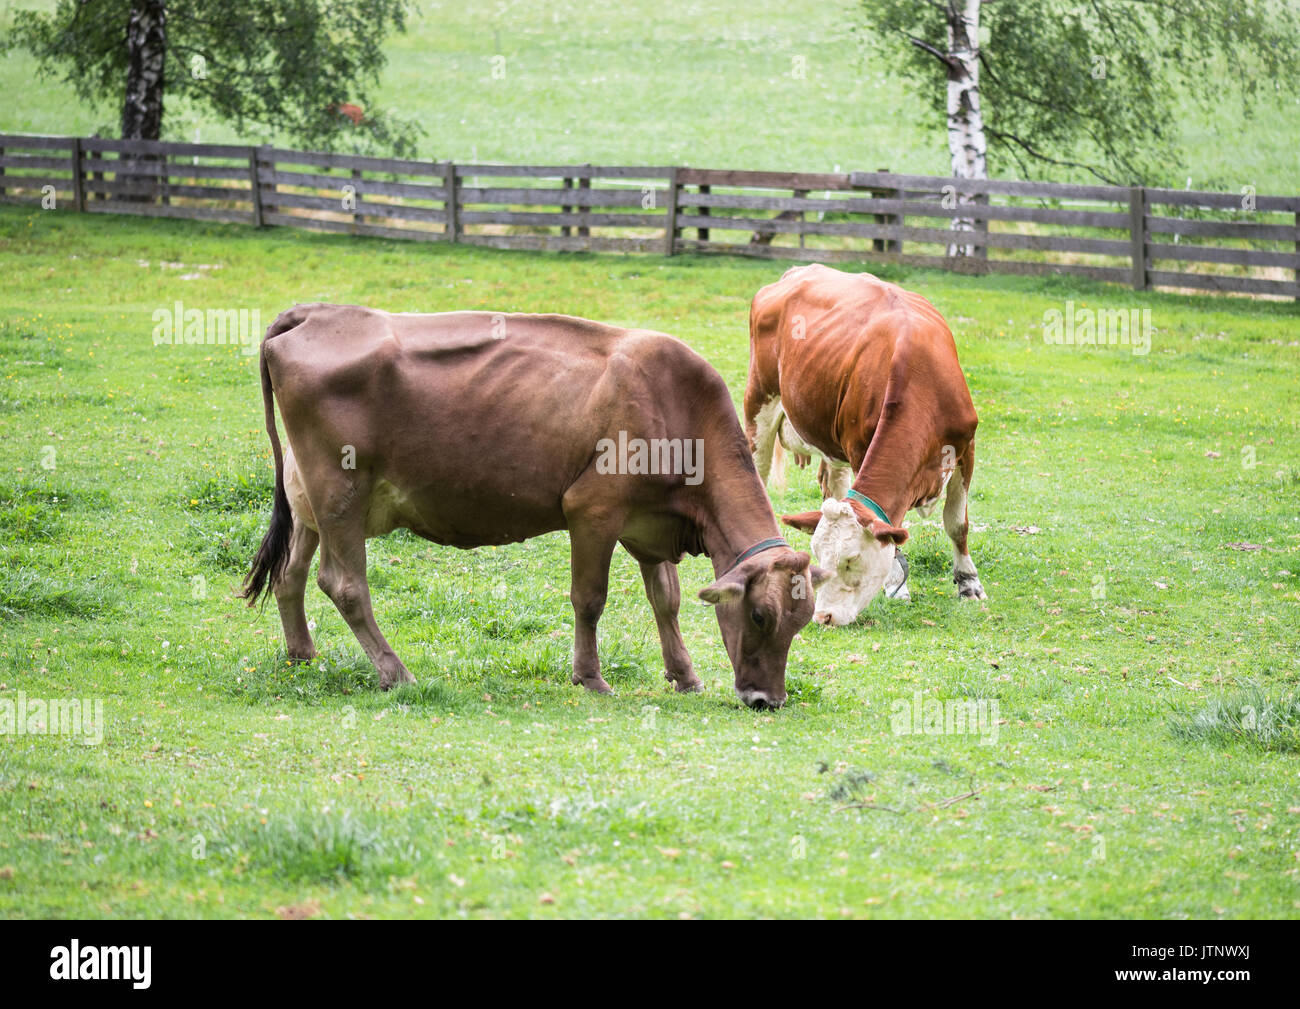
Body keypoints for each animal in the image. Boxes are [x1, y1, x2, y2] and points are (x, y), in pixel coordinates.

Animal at [243, 302, 821, 707]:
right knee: (343, 584)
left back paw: (303, 655)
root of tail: (318, 312)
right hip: (341, 492)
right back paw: (396, 672)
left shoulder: (648, 522)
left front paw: (684, 675)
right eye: (762, 616)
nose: (767, 700)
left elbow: (666, 599)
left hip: (308, 496)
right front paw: (590, 677)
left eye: (801, 621)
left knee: (290, 574)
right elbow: (590, 599)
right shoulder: (593, 510)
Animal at [743, 263, 982, 626]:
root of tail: (797, 271)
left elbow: (957, 524)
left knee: (832, 486)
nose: (822, 616)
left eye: (852, 559)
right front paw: (898, 587)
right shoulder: (859, 448)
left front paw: (969, 584)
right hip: (759, 401)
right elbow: (894, 530)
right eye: (818, 556)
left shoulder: (965, 449)